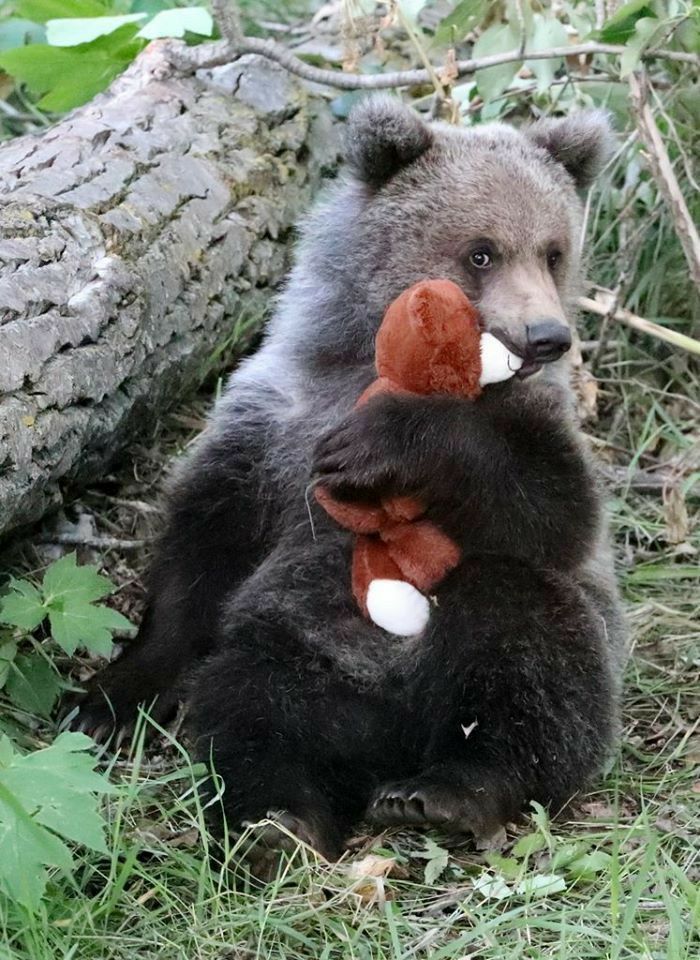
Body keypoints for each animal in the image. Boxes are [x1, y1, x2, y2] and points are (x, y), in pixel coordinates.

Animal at [69, 97, 628, 858]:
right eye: (481, 250)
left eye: (552, 250)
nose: (546, 335)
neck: (376, 359)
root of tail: (393, 737)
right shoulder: (273, 422)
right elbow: (202, 551)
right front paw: (108, 697)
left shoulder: (537, 425)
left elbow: (555, 510)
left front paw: (385, 442)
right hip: (306, 651)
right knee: (255, 710)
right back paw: (279, 821)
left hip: (516, 652)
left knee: (528, 654)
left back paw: (450, 792)